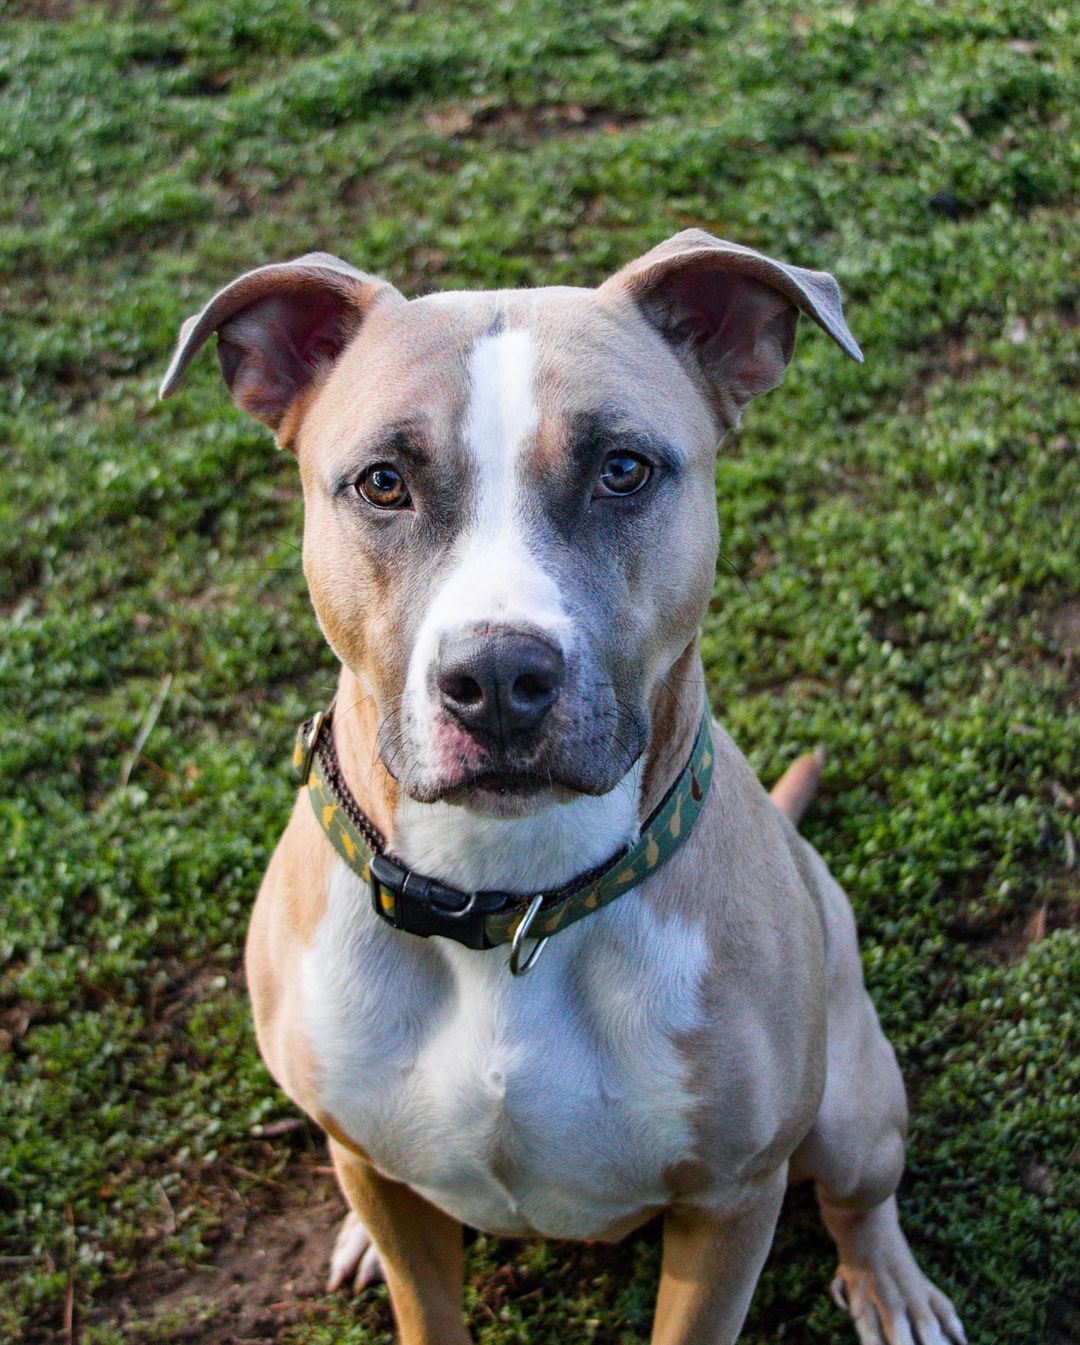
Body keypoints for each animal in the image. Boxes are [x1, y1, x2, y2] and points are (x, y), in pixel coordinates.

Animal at [162, 234, 973, 1345]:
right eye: (382, 483)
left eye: (622, 470)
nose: (498, 677)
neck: (508, 897)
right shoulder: (375, 1161)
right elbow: (426, 1303)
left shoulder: (732, 1202)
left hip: (851, 1103)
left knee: (860, 1193)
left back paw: (891, 1282)